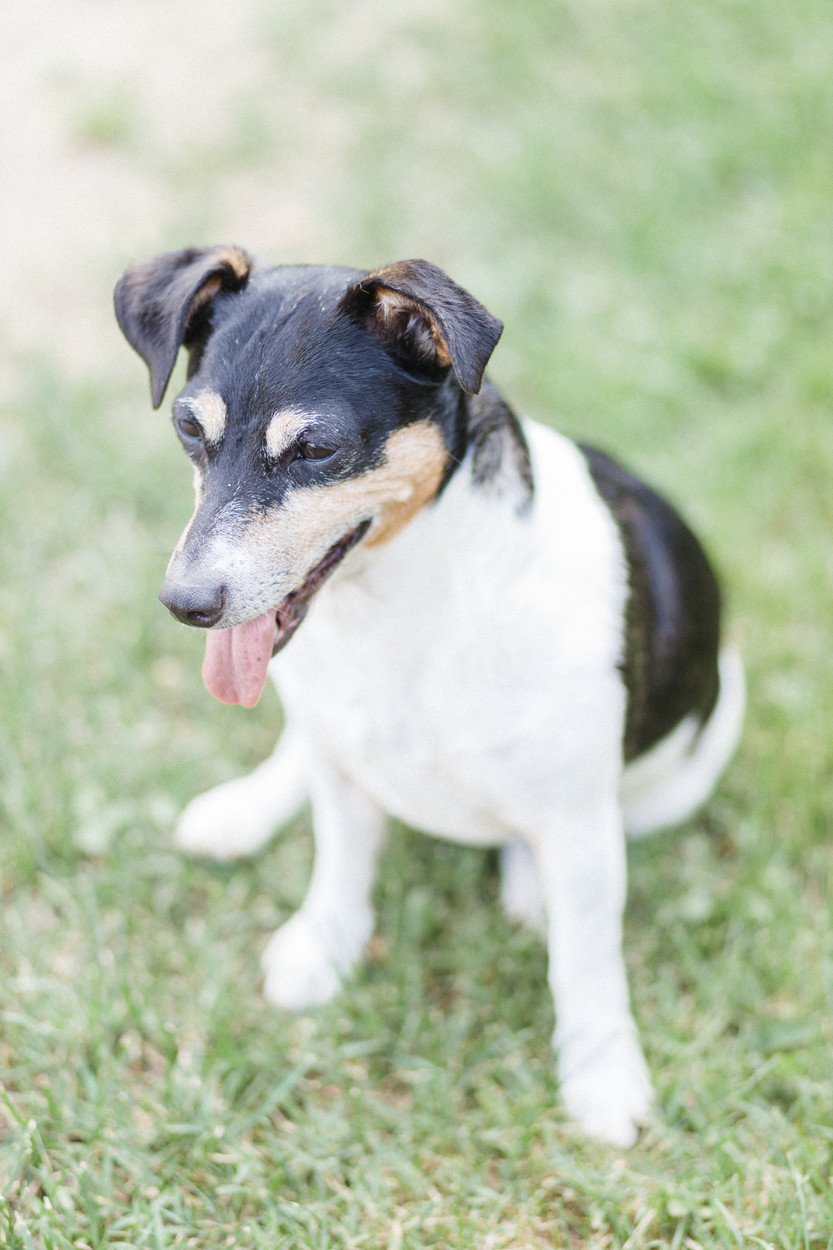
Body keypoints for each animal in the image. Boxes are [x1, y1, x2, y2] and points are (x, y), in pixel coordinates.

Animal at [113, 241, 740, 1145]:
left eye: (316, 450)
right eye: (189, 430)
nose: (185, 603)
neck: (405, 605)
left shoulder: (580, 823)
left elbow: (586, 964)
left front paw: (601, 1074)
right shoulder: (345, 773)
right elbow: (339, 864)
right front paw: (322, 949)